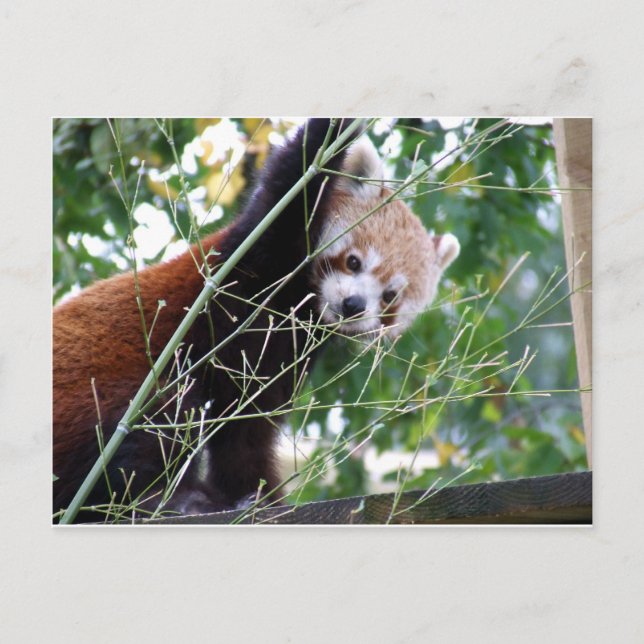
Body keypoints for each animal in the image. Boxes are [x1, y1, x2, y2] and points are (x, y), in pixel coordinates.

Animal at [53, 118, 460, 522]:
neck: (295, 306)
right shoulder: (249, 263)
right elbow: (292, 180)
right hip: (97, 388)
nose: (354, 305)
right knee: (160, 412)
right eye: (354, 261)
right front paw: (339, 124)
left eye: (390, 297)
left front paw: (261, 497)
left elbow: (246, 433)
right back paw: (170, 500)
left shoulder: (280, 355)